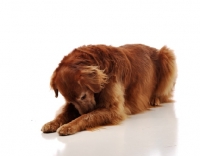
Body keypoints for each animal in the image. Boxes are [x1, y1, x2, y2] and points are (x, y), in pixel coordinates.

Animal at [40, 44, 177, 135]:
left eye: (83, 96)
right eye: (71, 101)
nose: (81, 112)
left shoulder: (114, 109)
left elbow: (88, 117)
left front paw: (69, 125)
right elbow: (63, 113)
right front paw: (52, 123)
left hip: (167, 55)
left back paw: (155, 99)